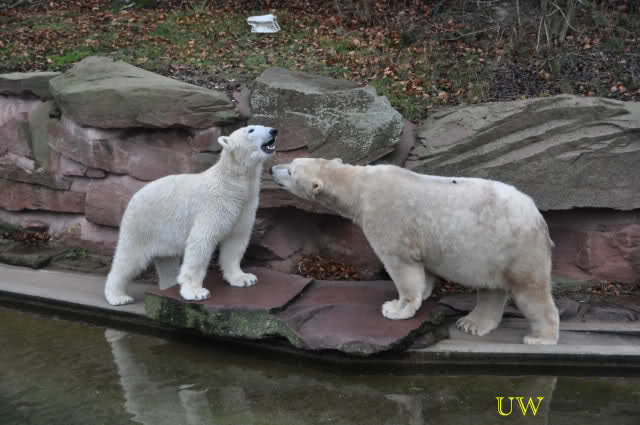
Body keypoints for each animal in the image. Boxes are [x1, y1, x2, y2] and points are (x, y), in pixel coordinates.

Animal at [104, 125, 277, 306]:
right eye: (250, 130)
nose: (273, 130)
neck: (232, 182)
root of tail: (133, 196)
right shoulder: (214, 205)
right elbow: (201, 242)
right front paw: (196, 292)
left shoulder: (245, 206)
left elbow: (235, 242)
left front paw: (244, 278)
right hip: (142, 224)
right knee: (129, 258)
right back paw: (118, 297)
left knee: (166, 261)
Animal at [271, 158, 559, 345]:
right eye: (293, 161)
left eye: (291, 171)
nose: (273, 168)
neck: (360, 186)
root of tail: (538, 218)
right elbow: (424, 269)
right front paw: (426, 291)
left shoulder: (387, 219)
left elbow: (401, 267)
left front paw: (396, 308)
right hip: (492, 253)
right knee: (491, 289)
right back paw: (472, 323)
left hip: (516, 247)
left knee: (531, 292)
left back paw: (539, 337)